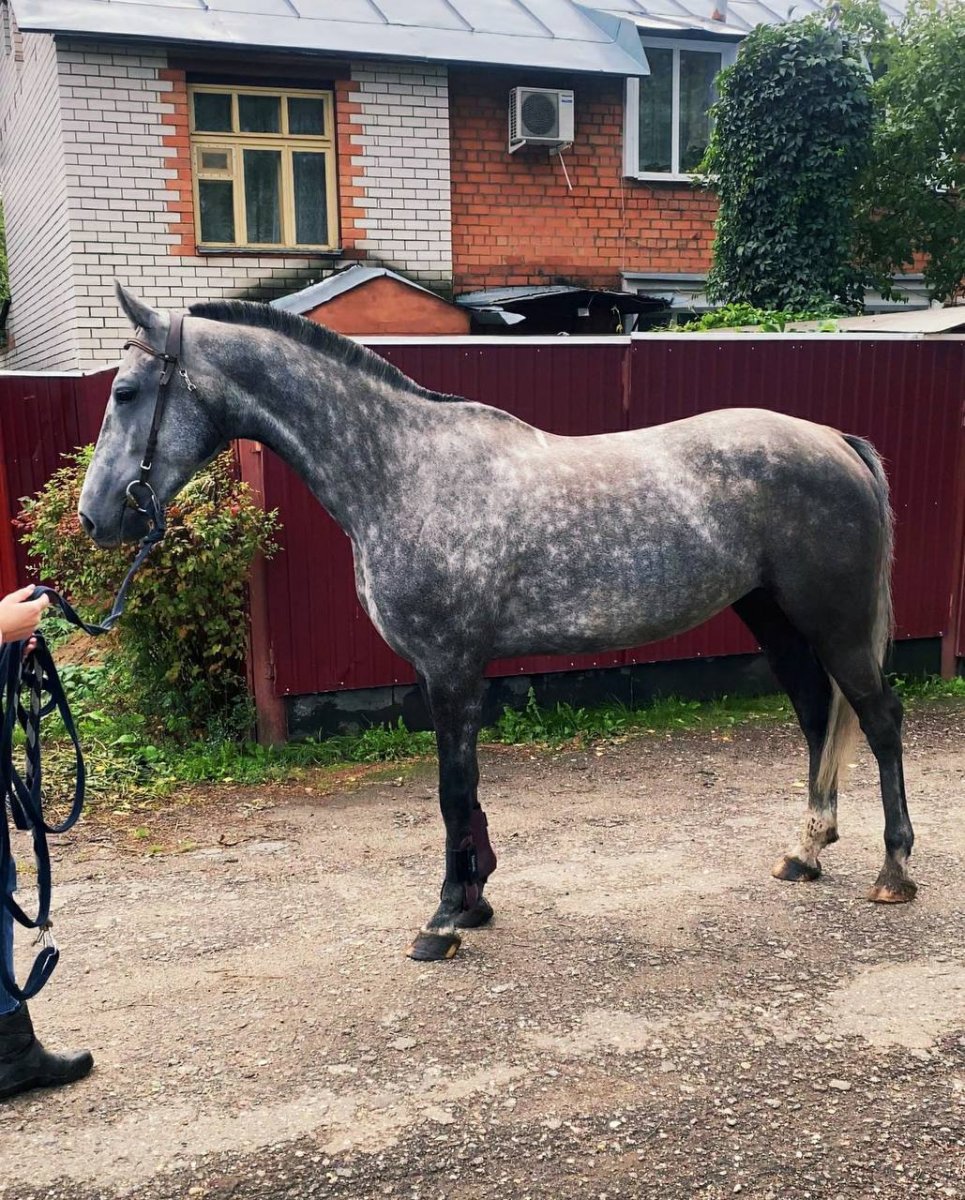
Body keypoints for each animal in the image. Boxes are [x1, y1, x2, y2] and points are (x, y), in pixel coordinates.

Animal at [77, 284, 916, 961]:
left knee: (877, 718)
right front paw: (474, 901)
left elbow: (452, 790)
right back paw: (804, 853)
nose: (95, 517)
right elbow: (467, 790)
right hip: (775, 618)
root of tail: (836, 442)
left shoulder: (449, 666)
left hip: (834, 622)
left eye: (126, 391)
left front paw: (445, 920)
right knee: (815, 717)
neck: (403, 472)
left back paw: (893, 871)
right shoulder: (449, 669)